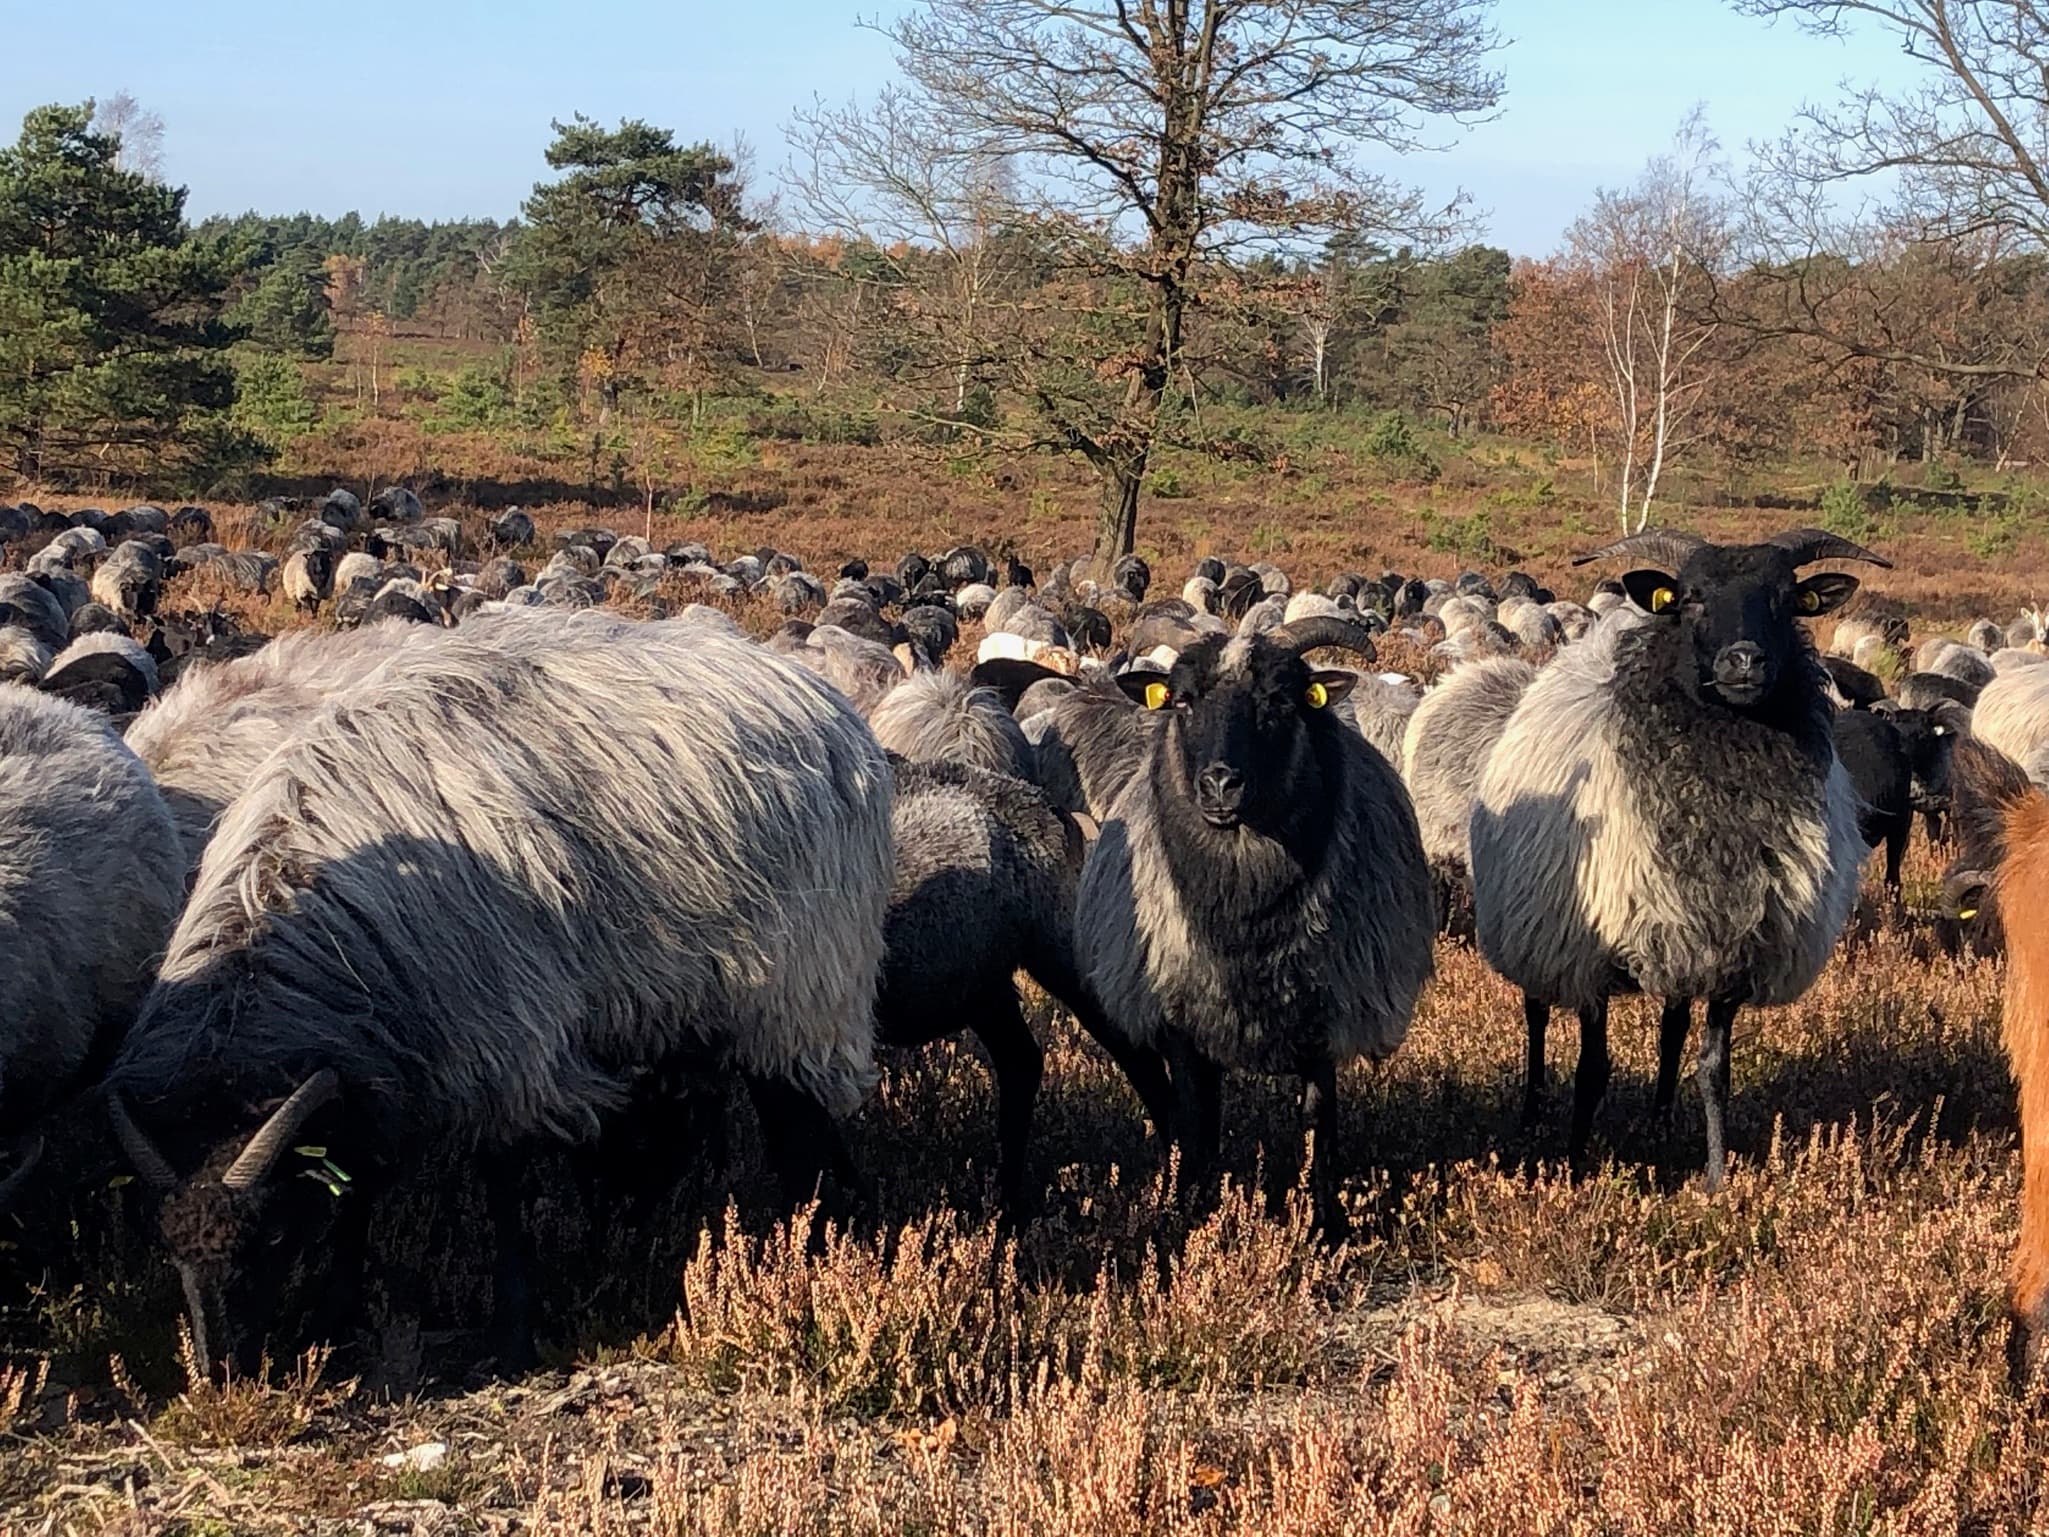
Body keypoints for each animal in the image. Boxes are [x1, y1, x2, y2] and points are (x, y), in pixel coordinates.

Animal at [101, 606, 889, 1377]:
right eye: (166, 1245)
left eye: (269, 1236)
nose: (220, 1371)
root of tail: (815, 696)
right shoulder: (377, 1067)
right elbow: (356, 1191)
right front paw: (338, 1313)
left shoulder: (500, 1042)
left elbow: (501, 1187)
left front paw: (511, 1331)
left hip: (801, 985)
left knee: (801, 1125)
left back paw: (823, 1249)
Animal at [1065, 618, 1434, 1237]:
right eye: (1183, 701)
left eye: (1280, 701)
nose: (1220, 784)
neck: (1245, 924)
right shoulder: (1181, 1021)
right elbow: (1196, 1125)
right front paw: (1188, 1214)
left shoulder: (1324, 1017)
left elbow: (1317, 1125)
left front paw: (1323, 1224)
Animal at [1467, 528, 1876, 1188]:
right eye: (1691, 597)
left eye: (1786, 599)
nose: (1744, 661)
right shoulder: (1592, 954)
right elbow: (1592, 1069)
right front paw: (1575, 1169)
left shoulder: (1738, 952)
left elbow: (1712, 1069)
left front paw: (1715, 1178)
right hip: (1535, 928)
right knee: (1536, 1015)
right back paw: (1531, 1115)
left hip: (1681, 936)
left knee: (1671, 1028)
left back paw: (1659, 1122)